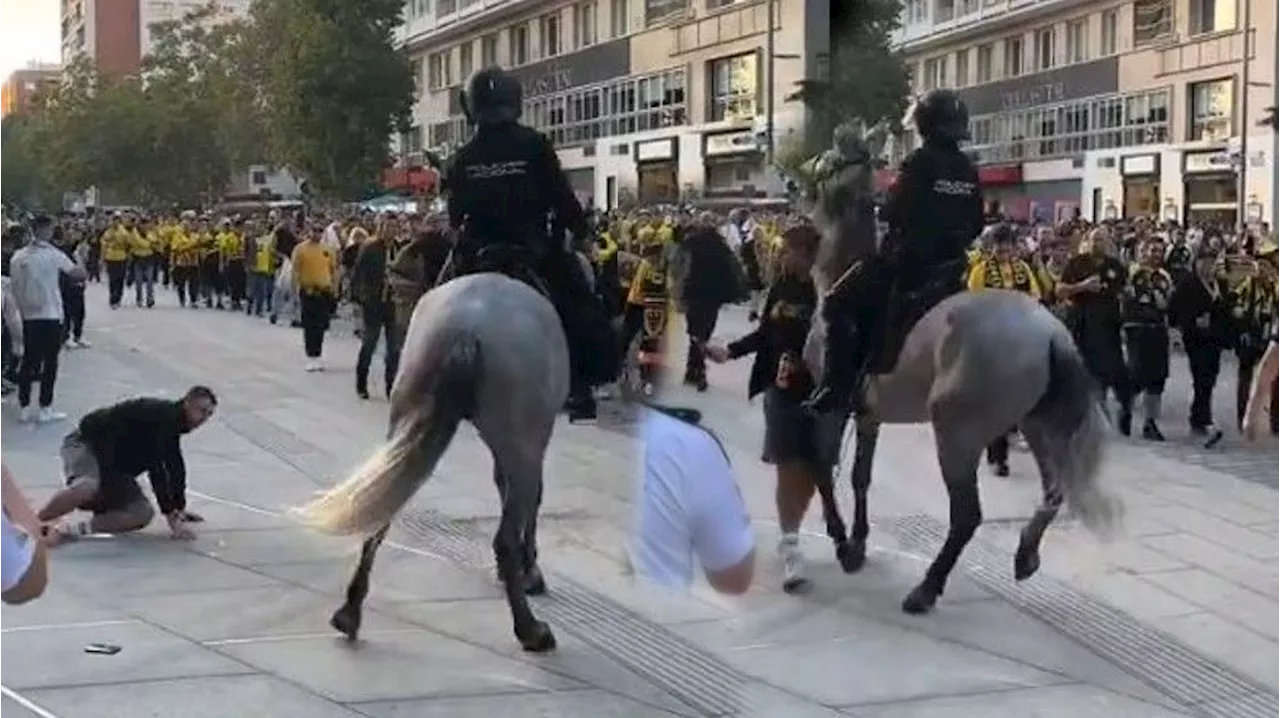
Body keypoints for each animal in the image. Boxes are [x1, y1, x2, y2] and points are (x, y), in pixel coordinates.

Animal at [293, 268, 573, 650]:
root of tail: (467, 325)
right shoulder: (535, 440)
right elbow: (531, 502)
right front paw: (530, 572)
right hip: (522, 439)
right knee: (509, 528)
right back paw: (531, 630)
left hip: (408, 418)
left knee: (380, 506)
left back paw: (349, 613)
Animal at [798, 121, 1121, 609]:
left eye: (833, 156)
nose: (799, 173)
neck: (842, 266)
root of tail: (1050, 331)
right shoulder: (870, 411)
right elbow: (860, 477)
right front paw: (857, 540)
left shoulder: (834, 403)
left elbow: (822, 466)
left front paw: (840, 541)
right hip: (1038, 423)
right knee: (1053, 491)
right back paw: (1025, 554)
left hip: (957, 430)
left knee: (968, 516)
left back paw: (928, 588)